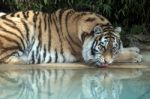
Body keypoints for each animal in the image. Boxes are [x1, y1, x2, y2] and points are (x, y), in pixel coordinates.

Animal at [0, 9, 143, 66]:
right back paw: (28, 60)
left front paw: (134, 49)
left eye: (113, 47)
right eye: (102, 46)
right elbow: (119, 56)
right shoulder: (86, 56)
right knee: (5, 58)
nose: (106, 63)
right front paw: (136, 56)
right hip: (23, 26)